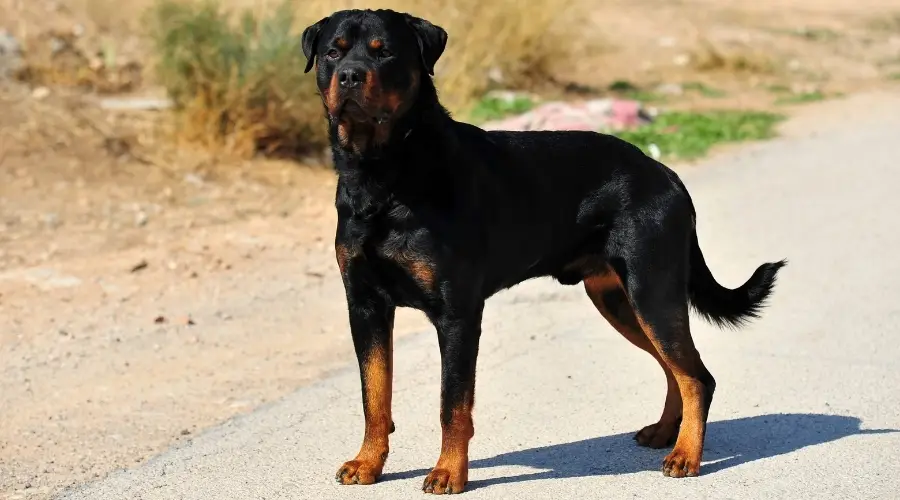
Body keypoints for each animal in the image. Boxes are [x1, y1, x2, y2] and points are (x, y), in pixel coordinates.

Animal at [300, 8, 780, 496]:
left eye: (385, 53)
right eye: (334, 52)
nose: (350, 75)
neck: (384, 173)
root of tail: (669, 176)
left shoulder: (457, 313)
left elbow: (453, 404)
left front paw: (449, 472)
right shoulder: (365, 306)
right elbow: (374, 394)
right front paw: (368, 462)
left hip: (652, 291)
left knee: (696, 376)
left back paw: (686, 455)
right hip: (618, 299)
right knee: (674, 368)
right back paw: (666, 433)